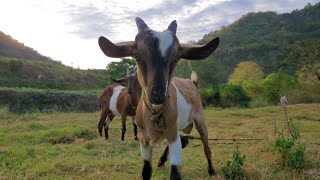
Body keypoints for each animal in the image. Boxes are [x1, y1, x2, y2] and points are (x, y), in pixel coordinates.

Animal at [97, 17, 219, 179]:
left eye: (176, 58)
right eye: (137, 57)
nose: (158, 94)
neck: (155, 114)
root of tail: (192, 83)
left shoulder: (172, 133)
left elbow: (175, 172)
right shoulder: (144, 140)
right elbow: (146, 171)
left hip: (199, 119)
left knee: (205, 144)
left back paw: (211, 170)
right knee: (184, 139)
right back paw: (161, 160)